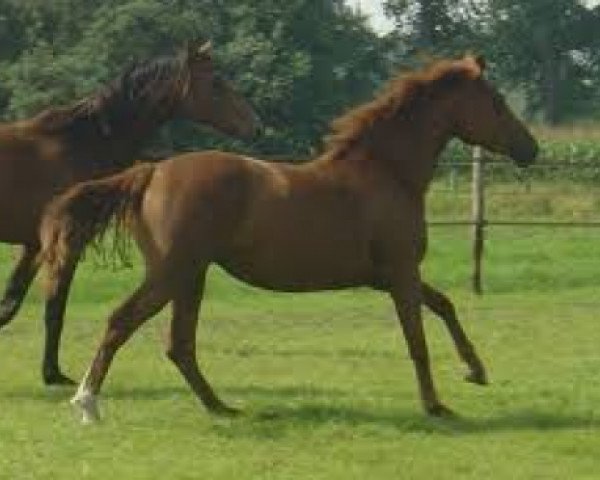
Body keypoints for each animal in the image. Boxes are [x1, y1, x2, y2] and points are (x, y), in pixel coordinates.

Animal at [0, 41, 260, 386]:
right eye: (216, 83)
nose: (256, 126)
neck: (83, 143)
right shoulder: (67, 243)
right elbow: (54, 308)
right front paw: (54, 375)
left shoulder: (35, 245)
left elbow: (12, 301)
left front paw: (50, 373)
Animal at [42, 55, 540, 424]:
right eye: (496, 102)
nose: (531, 149)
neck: (387, 173)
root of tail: (150, 172)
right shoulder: (400, 273)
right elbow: (416, 338)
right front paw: (436, 406)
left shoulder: (389, 275)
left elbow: (445, 305)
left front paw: (475, 371)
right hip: (172, 273)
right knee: (122, 322)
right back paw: (87, 405)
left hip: (191, 276)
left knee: (179, 344)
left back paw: (222, 407)